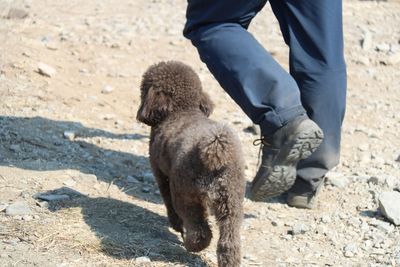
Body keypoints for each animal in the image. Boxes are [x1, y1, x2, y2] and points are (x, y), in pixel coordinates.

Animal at [136, 61, 245, 267]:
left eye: (143, 89)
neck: (182, 111)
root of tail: (215, 150)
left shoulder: (161, 175)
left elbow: (169, 205)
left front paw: (176, 227)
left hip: (186, 194)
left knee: (200, 231)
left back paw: (189, 244)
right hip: (231, 200)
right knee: (229, 242)